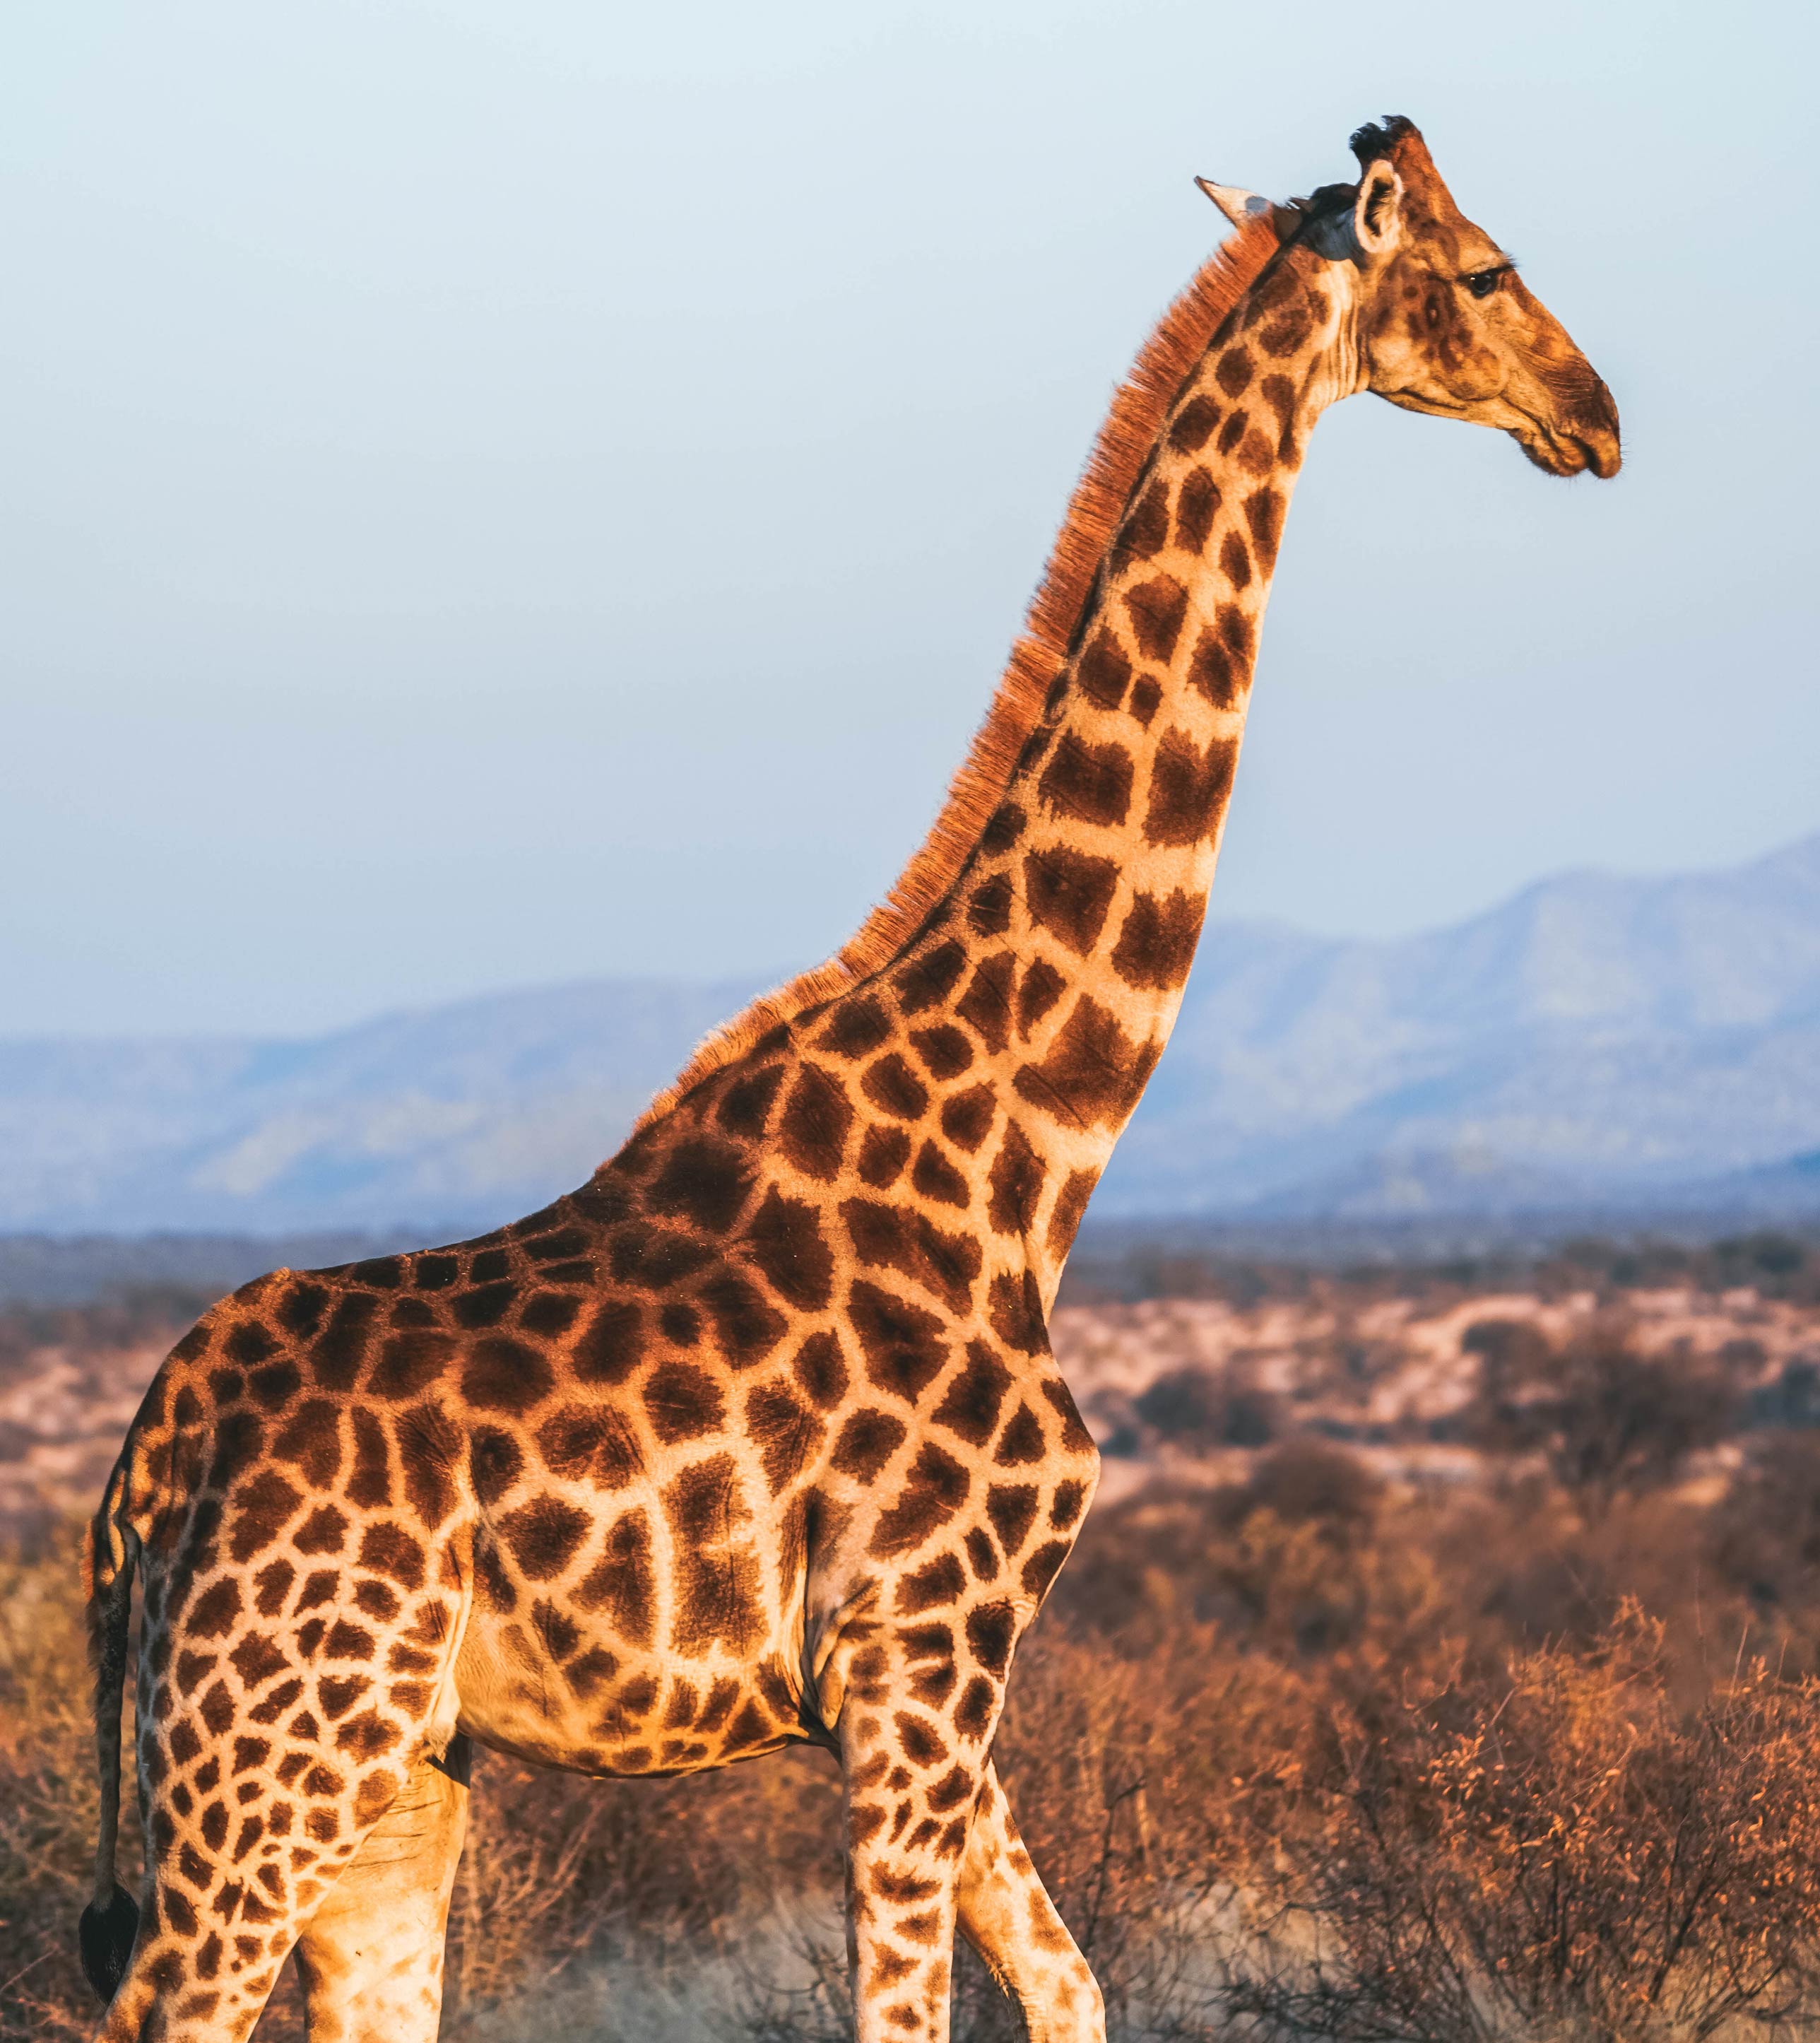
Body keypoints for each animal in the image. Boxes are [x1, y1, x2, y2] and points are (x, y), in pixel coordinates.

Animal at [79, 117, 1617, 2043]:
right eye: (1486, 270)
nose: (1596, 415)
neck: (1029, 1154)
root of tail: (157, 1449)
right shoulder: (920, 1652)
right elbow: (912, 2007)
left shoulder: (936, 1677)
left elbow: (1071, 1985)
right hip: (259, 1759)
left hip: (389, 1774)